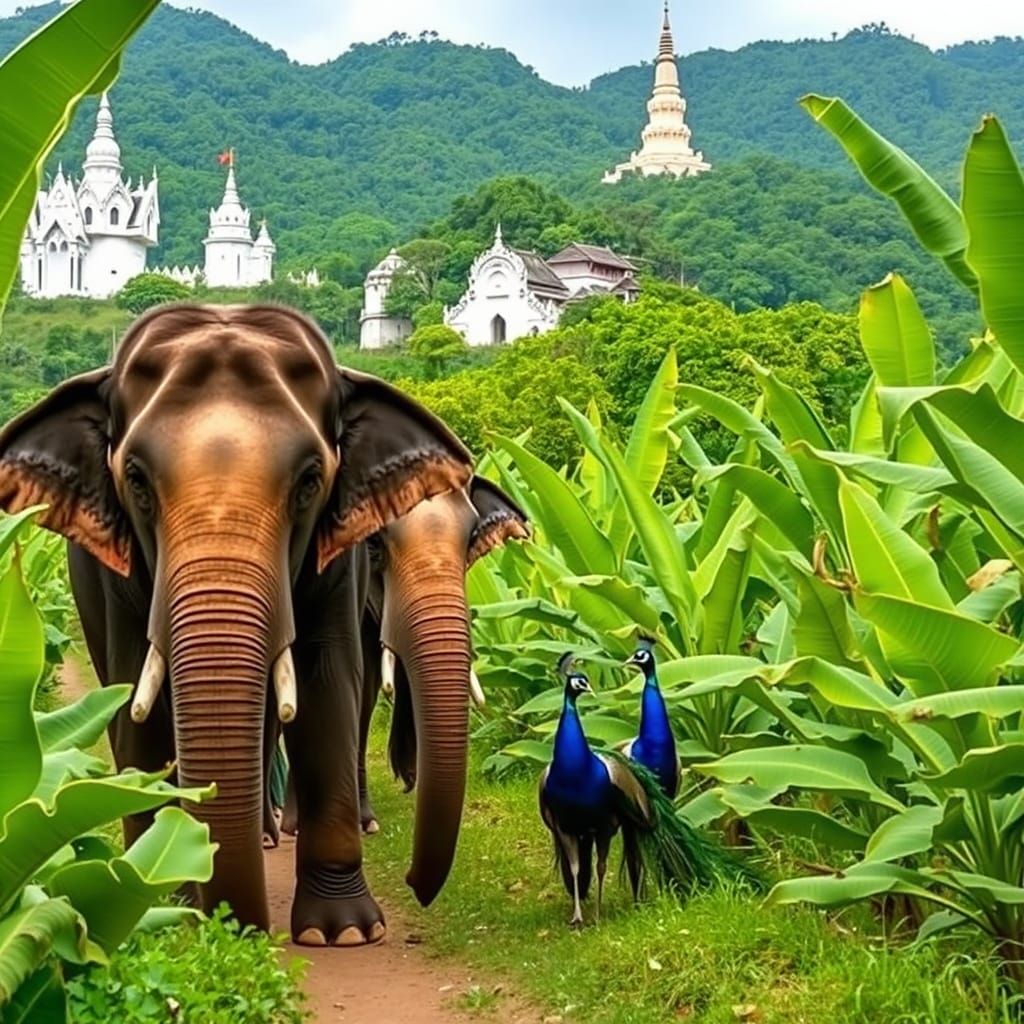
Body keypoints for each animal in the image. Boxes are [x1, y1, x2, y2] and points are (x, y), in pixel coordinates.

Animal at [0, 303, 524, 946]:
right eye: (137, 482)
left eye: (310, 482)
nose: (416, 884)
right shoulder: (113, 576)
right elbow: (134, 698)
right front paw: (161, 903)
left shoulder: (335, 565)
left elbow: (331, 686)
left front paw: (344, 932)